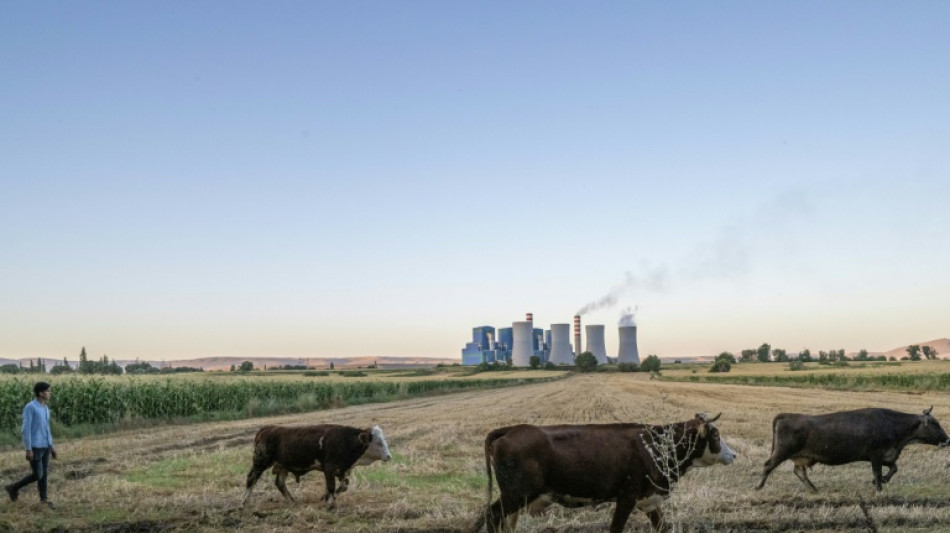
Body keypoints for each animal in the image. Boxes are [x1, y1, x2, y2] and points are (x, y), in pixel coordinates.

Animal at [247, 424, 396, 508]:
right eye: (378, 442)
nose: (389, 456)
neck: (346, 440)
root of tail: (267, 429)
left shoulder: (343, 470)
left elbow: (343, 486)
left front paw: (325, 498)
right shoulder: (329, 469)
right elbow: (331, 486)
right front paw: (330, 503)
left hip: (282, 466)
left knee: (280, 483)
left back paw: (291, 501)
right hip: (260, 462)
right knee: (251, 479)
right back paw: (245, 503)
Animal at [476, 412, 736, 532]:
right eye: (715, 435)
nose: (733, 455)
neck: (655, 445)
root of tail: (512, 430)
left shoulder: (649, 500)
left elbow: (662, 526)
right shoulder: (627, 496)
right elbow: (616, 527)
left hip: (516, 499)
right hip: (515, 494)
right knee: (491, 515)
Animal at [760, 408, 950, 490]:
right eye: (934, 424)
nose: (947, 440)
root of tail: (788, 415)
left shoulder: (886, 455)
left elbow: (894, 468)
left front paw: (883, 481)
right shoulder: (876, 454)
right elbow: (877, 472)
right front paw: (878, 488)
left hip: (800, 457)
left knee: (799, 472)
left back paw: (814, 489)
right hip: (782, 451)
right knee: (768, 465)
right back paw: (759, 487)